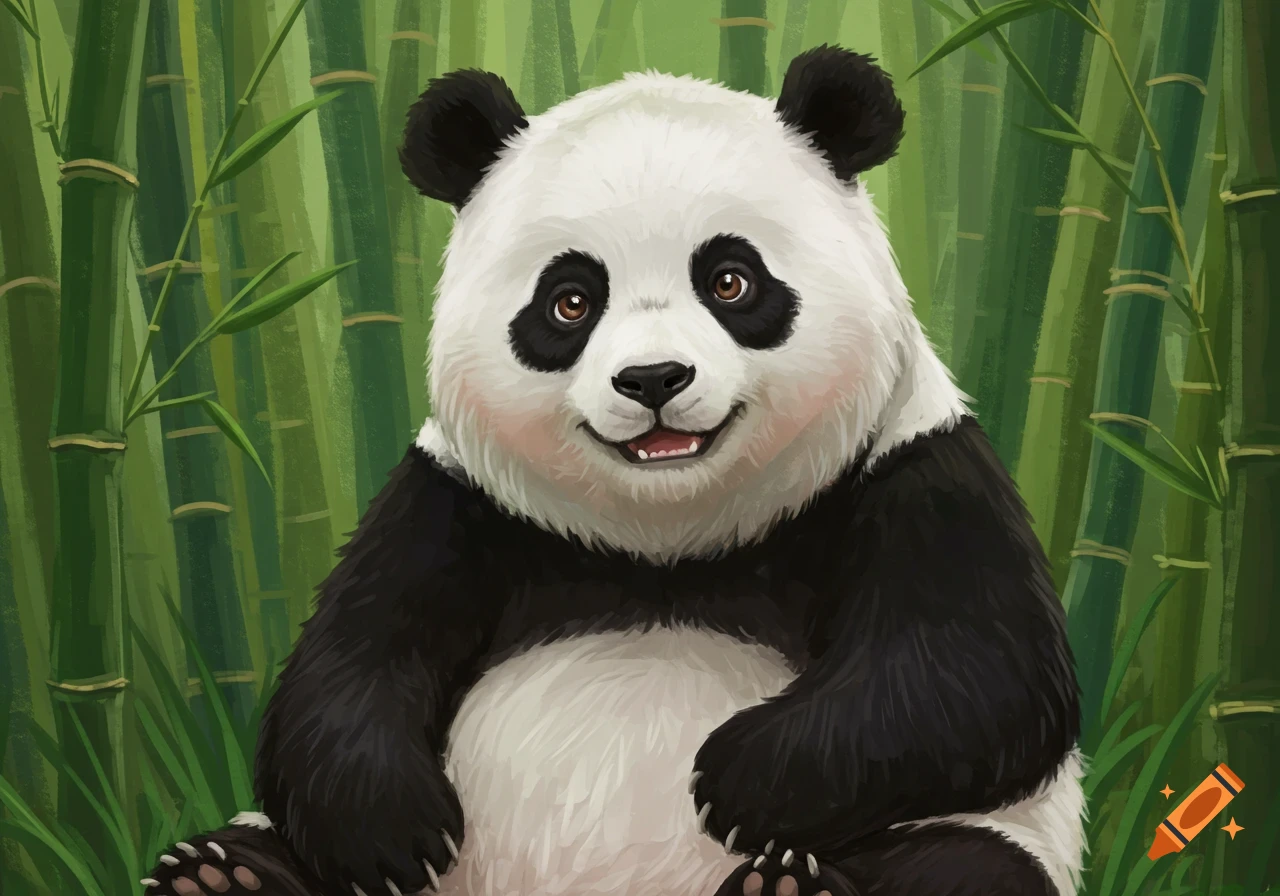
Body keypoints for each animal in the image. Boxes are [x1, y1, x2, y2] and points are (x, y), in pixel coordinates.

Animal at [144, 44, 1084, 896]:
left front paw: (737, 779)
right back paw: (220, 875)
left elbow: (974, 673)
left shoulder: (913, 468)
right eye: (570, 300)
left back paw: (792, 886)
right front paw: (391, 830)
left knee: (963, 864)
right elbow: (348, 662)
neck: (666, 537)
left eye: (732, 281)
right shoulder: (453, 501)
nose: (654, 379)